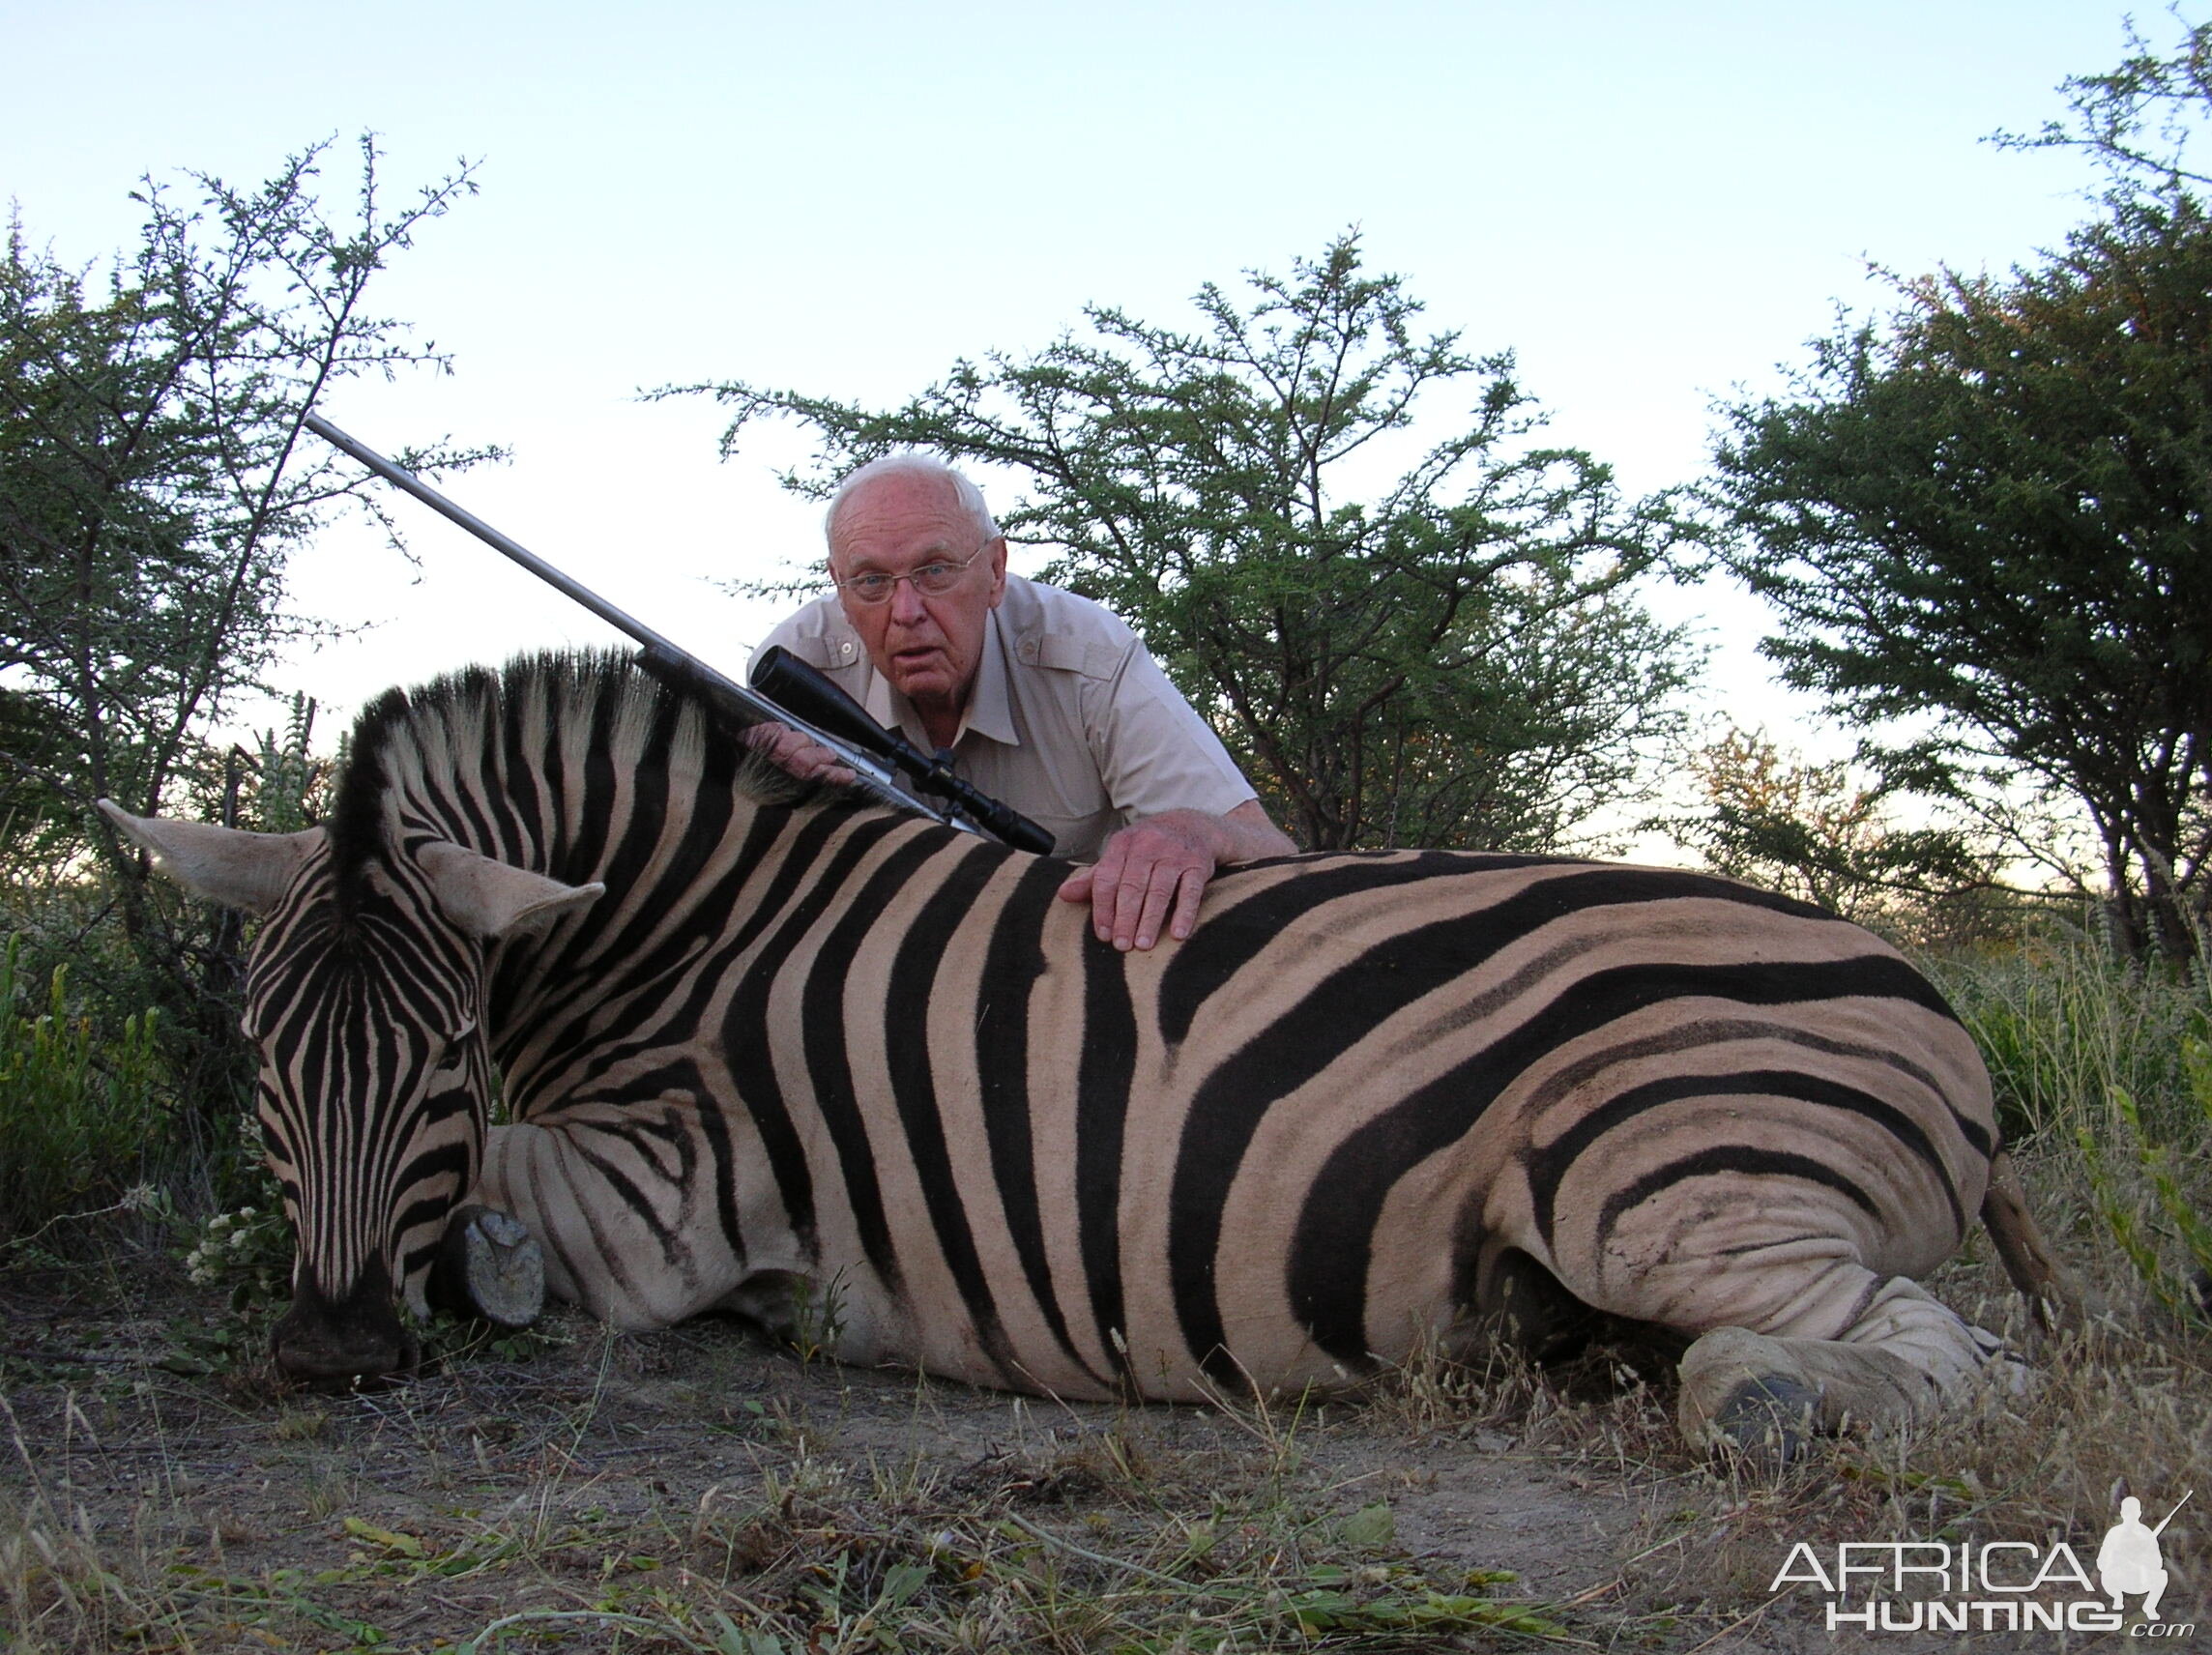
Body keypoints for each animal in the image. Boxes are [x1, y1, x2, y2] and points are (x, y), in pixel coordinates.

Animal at [99, 654, 2070, 1451]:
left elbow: (497, 1209)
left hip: (1654, 1176)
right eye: (260, 1053)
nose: (332, 1353)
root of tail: (1933, 1000)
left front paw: (477, 1268)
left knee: (1926, 1356)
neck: (692, 917)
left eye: (445, 1053)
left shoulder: (665, 1195)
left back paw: (1767, 1406)